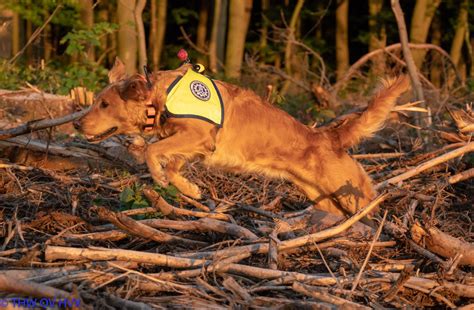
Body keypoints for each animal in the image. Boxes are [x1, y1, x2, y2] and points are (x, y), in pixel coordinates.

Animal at [74, 59, 408, 217]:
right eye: (96, 102)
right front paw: (189, 189)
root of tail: (328, 135)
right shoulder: (194, 145)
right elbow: (170, 161)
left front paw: (161, 177)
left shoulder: (199, 135)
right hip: (319, 195)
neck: (160, 95)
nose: (76, 123)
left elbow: (152, 152)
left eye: (104, 105)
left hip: (352, 195)